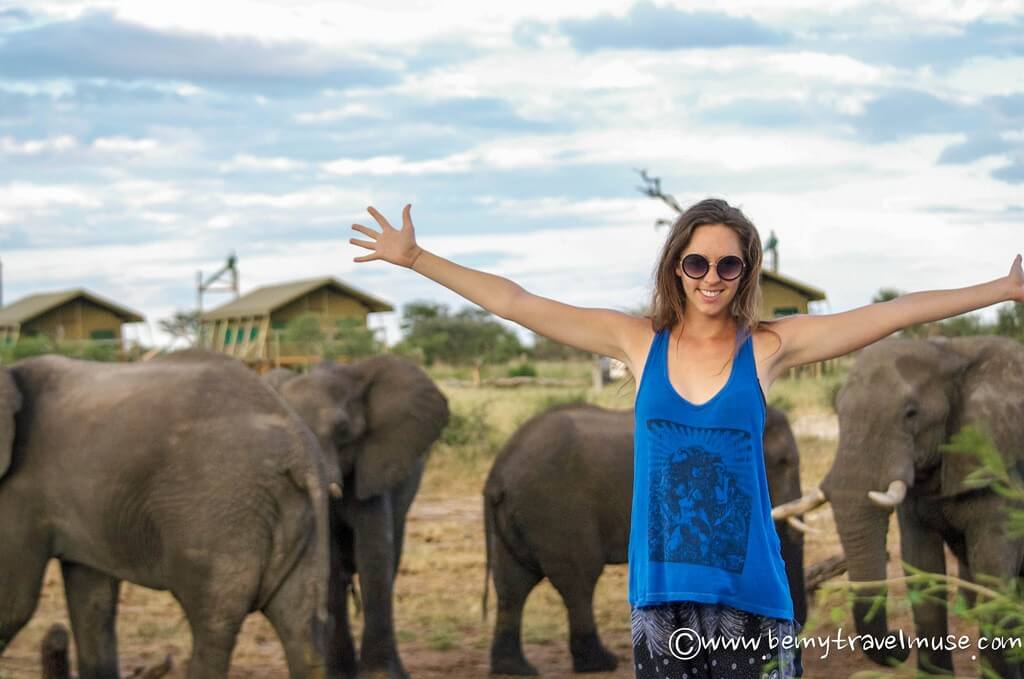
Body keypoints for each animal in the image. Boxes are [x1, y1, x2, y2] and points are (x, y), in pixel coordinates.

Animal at [0, 350, 329, 679]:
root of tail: (299, 448)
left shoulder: (21, 491)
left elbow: (13, 604)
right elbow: (93, 602)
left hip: (220, 508)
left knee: (214, 624)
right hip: (299, 517)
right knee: (300, 627)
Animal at [264, 356, 448, 679]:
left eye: (342, 429)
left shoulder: (375, 461)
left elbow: (373, 552)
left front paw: (379, 676)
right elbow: (329, 558)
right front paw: (338, 675)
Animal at [479, 403, 806, 675]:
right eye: (783, 461)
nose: (799, 628)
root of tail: (497, 473)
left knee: (512, 587)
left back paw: (516, 669)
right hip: (557, 513)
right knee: (579, 582)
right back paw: (601, 663)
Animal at [770, 335, 1024, 679]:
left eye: (911, 414)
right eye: (838, 410)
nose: (899, 640)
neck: (950, 352)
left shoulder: (1000, 468)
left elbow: (993, 574)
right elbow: (923, 570)